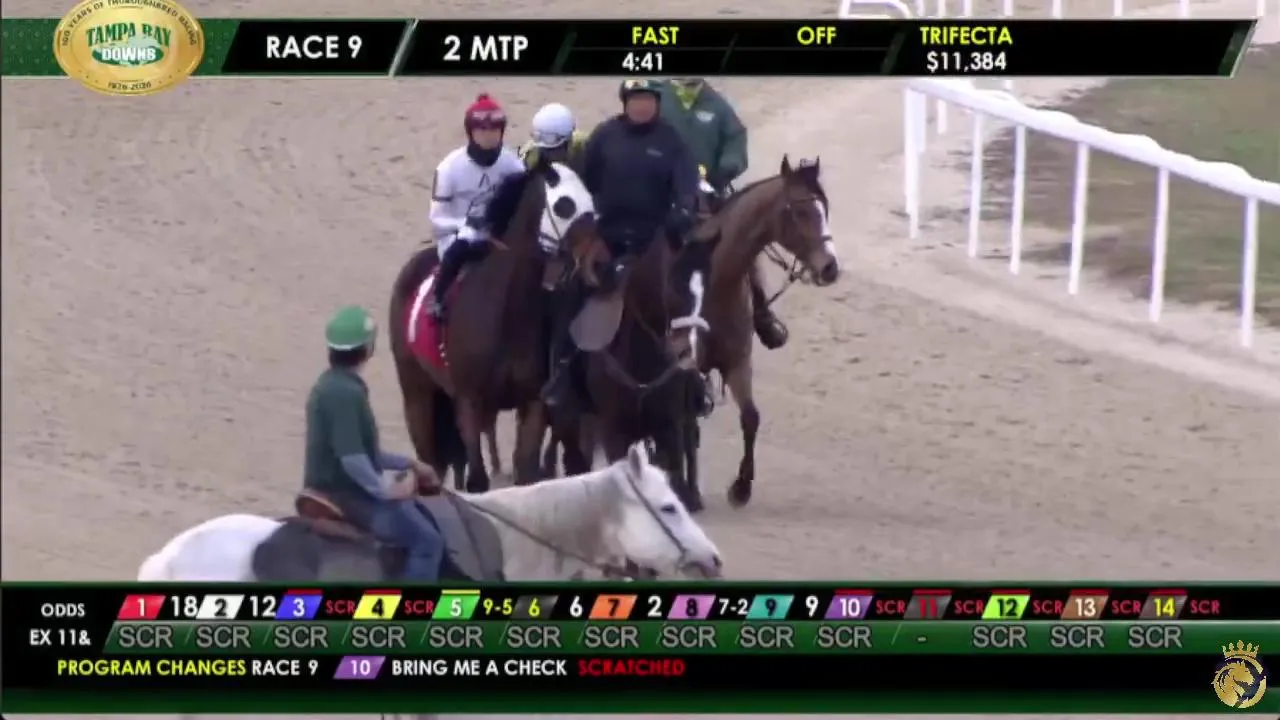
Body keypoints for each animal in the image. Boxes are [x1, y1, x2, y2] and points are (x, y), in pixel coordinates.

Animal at [388, 161, 610, 492]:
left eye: (592, 204)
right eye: (564, 206)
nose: (601, 263)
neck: (506, 315)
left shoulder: (533, 403)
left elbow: (527, 472)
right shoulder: (468, 400)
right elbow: (477, 479)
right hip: (417, 393)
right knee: (430, 459)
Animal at [689, 156, 841, 508]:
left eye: (824, 208)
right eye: (800, 211)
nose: (830, 267)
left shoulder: (737, 363)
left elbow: (751, 417)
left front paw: (742, 486)